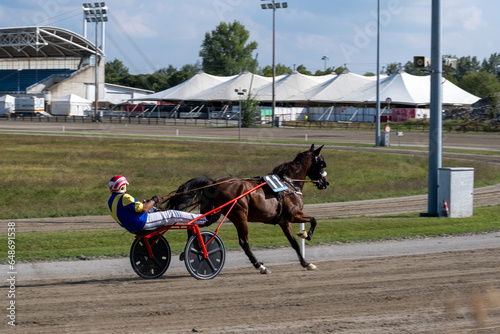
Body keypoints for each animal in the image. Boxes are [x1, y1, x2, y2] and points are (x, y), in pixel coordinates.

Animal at [162, 144, 330, 274]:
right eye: (322, 163)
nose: (325, 182)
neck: (288, 185)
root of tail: (214, 183)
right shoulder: (292, 216)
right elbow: (312, 222)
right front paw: (306, 238)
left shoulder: (284, 221)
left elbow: (295, 242)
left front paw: (305, 259)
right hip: (239, 215)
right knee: (244, 241)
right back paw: (260, 266)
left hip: (213, 214)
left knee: (193, 225)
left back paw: (191, 248)